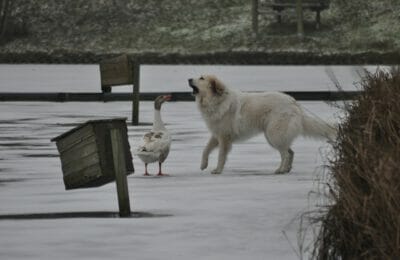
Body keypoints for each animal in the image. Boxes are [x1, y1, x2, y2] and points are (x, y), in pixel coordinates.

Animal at [187, 75, 334, 175]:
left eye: (201, 78)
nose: (189, 79)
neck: (216, 100)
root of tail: (294, 102)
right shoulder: (216, 134)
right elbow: (205, 150)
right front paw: (203, 165)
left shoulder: (224, 137)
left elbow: (221, 156)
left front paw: (218, 170)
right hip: (275, 136)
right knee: (290, 152)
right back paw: (286, 169)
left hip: (274, 135)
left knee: (285, 154)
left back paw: (280, 170)